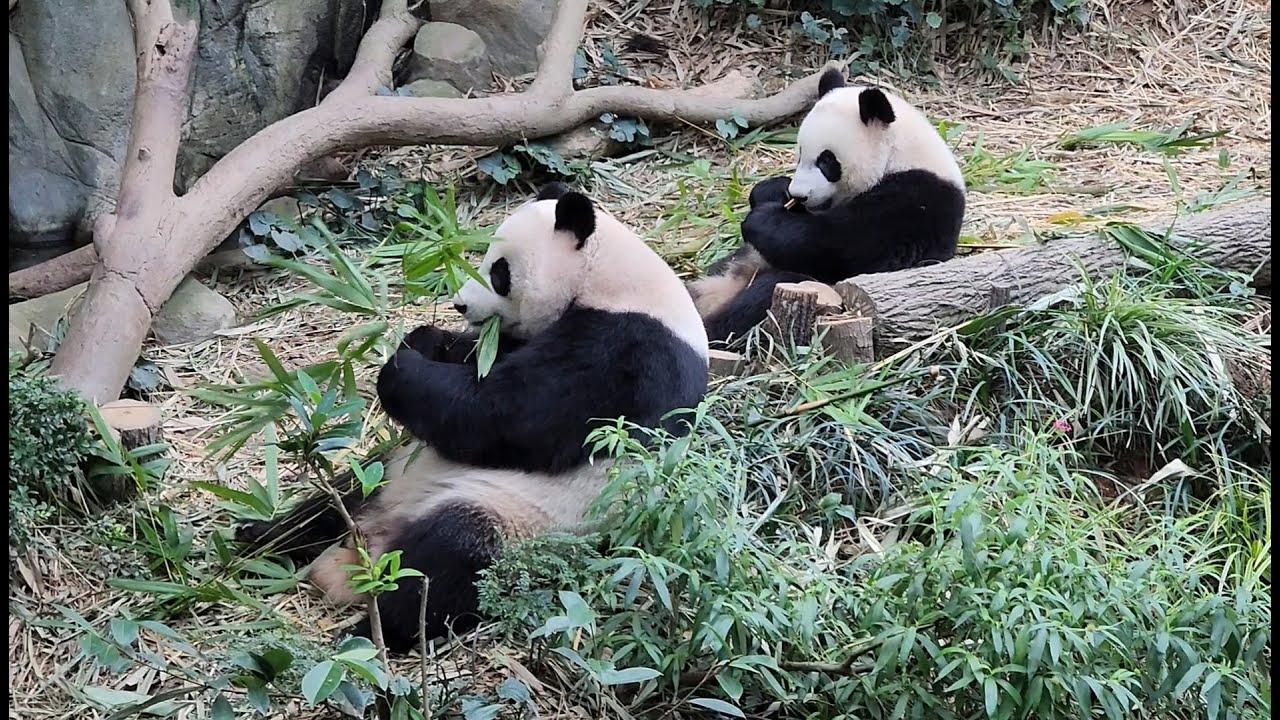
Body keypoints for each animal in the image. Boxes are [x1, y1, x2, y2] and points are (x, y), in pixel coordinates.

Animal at [236, 182, 709, 653]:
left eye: (499, 272)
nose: (460, 305)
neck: (613, 278)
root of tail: (375, 539)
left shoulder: (629, 353)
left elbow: (511, 416)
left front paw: (398, 370)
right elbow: (478, 361)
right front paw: (422, 339)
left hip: (514, 519)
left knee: (448, 561)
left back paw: (367, 634)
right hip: (388, 473)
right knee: (338, 498)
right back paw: (261, 535)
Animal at [688, 67, 967, 345]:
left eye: (827, 161)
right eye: (800, 153)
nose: (799, 195)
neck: (898, 156)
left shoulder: (916, 203)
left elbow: (839, 246)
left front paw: (761, 220)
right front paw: (773, 192)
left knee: (765, 294)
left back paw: (713, 330)